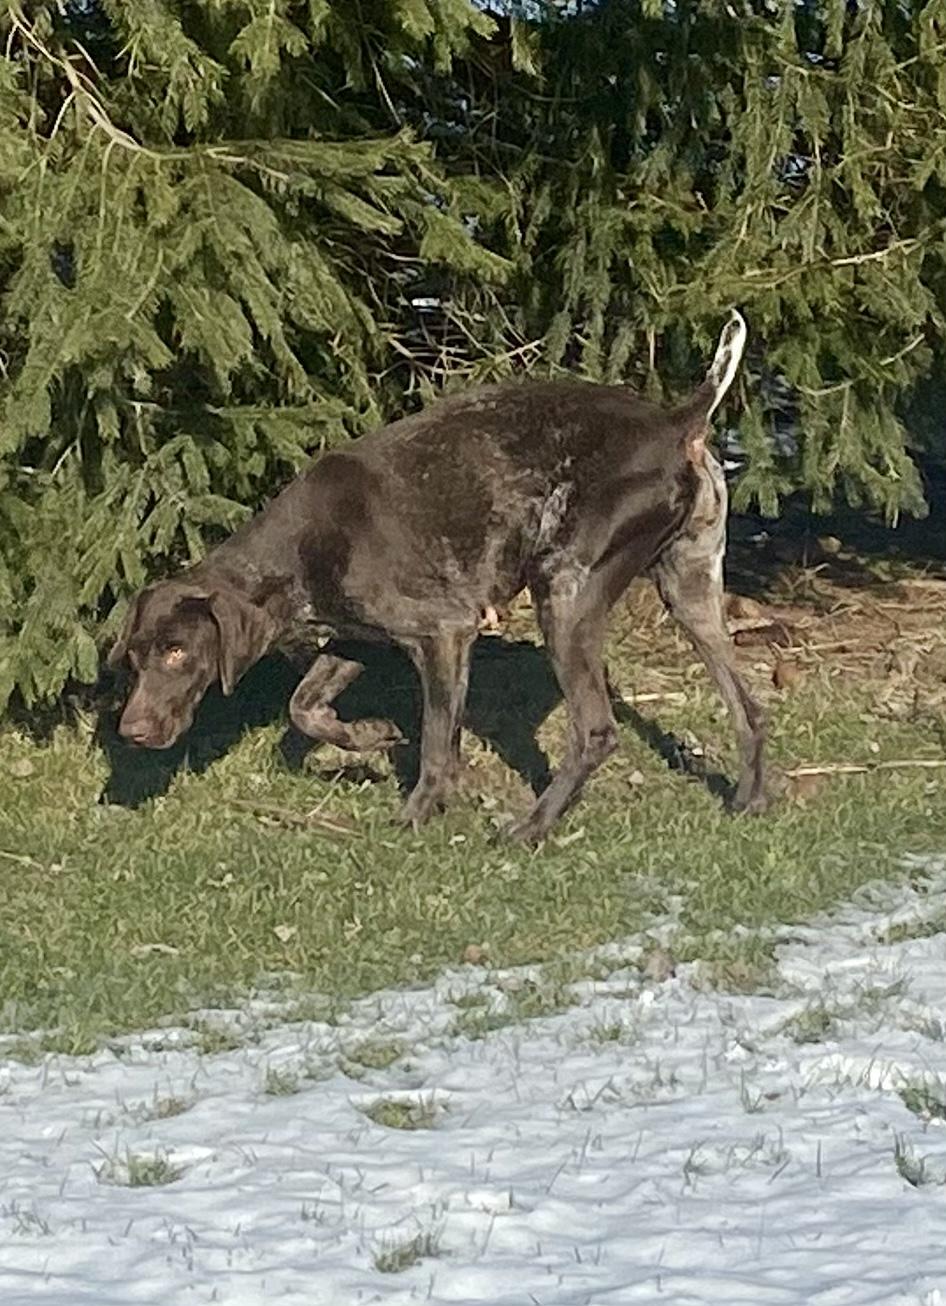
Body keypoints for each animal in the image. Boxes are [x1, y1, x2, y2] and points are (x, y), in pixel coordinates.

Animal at [109, 313, 763, 846]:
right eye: (134, 659)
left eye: (177, 652)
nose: (130, 731)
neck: (298, 550)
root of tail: (675, 421)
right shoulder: (354, 639)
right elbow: (304, 708)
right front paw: (368, 737)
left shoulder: (444, 633)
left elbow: (435, 743)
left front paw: (419, 812)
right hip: (690, 590)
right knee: (749, 708)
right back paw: (752, 799)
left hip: (565, 589)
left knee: (595, 732)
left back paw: (531, 827)